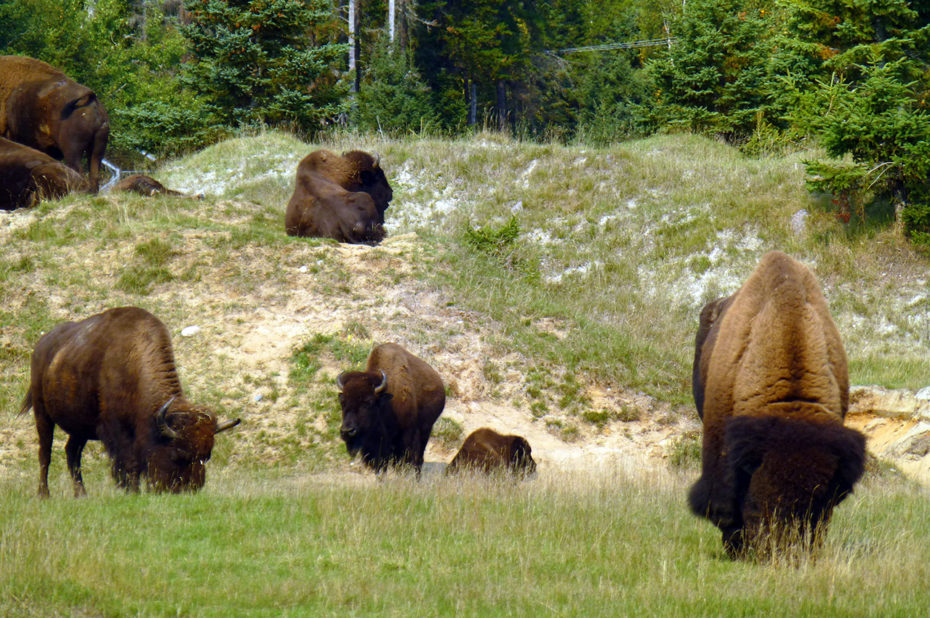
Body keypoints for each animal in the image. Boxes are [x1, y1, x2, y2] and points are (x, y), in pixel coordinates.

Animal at [21, 304, 241, 496]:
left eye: (207, 455)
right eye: (178, 454)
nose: (189, 491)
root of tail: (40, 346)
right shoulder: (117, 430)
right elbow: (129, 464)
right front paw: (133, 492)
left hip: (80, 426)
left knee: (72, 453)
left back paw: (81, 494)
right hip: (42, 413)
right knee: (45, 453)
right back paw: (44, 495)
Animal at [336, 342, 444, 472]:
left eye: (368, 402)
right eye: (342, 402)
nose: (347, 431)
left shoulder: (405, 437)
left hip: (425, 430)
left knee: (418, 460)